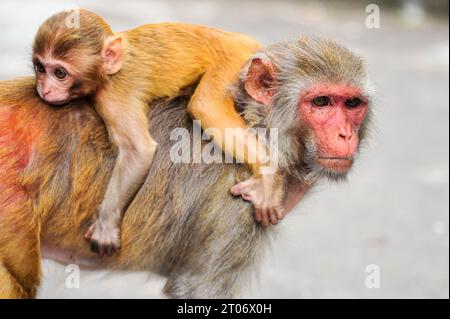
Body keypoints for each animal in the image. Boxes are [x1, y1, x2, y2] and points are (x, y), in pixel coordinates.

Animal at [0, 36, 370, 298]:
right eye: (321, 102)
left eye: (352, 104)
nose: (345, 134)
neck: (259, 129)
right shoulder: (237, 203)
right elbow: (196, 288)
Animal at [32, 8, 284, 256]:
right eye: (40, 68)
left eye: (60, 73)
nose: (45, 89)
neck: (106, 70)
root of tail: (241, 39)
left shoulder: (113, 96)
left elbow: (139, 150)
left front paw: (106, 224)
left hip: (233, 60)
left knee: (205, 104)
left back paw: (267, 173)